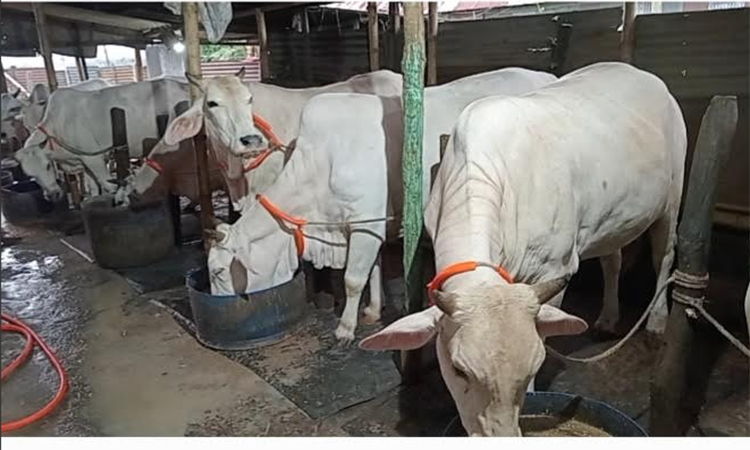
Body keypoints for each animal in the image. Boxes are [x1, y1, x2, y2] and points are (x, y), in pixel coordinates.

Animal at [13, 77, 190, 201]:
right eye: (30, 174)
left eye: (48, 166)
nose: (53, 195)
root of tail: (183, 85)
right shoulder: (83, 162)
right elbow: (93, 188)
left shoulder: (93, 159)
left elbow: (107, 184)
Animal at [358, 62, 687, 436]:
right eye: (458, 369)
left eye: (533, 365)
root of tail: (638, 71)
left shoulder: (556, 267)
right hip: (613, 217)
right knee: (612, 259)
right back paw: (608, 317)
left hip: (673, 193)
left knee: (664, 255)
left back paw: (657, 322)